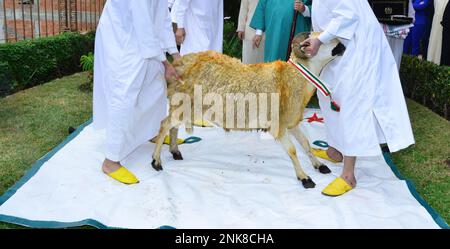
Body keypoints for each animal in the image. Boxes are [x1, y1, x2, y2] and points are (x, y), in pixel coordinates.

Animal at [153, 31, 346, 189]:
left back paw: (175, 151)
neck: (293, 77)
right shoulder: (278, 125)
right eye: (323, 41)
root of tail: (181, 62)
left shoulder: (291, 122)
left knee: (173, 126)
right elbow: (292, 150)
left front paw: (320, 166)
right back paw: (156, 161)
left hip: (185, 106)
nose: (343, 46)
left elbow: (306, 144)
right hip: (186, 104)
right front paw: (304, 178)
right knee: (164, 124)